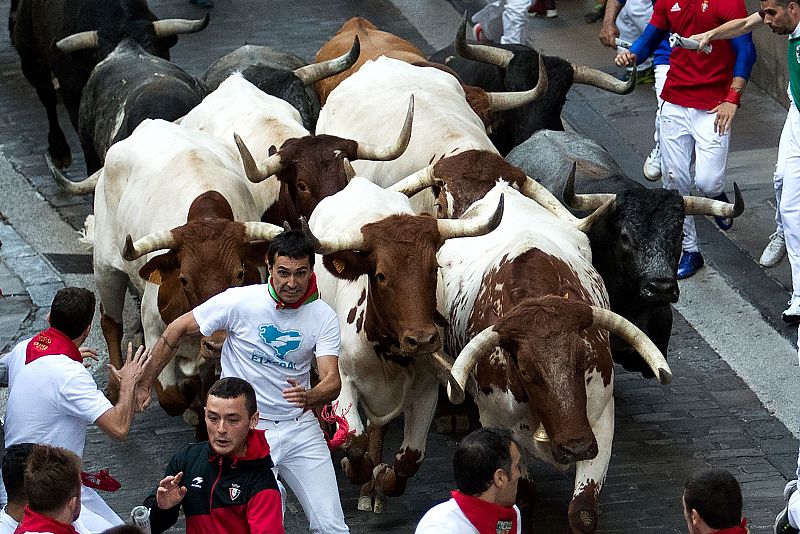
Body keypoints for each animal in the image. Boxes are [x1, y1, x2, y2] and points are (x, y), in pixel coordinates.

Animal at [83, 118, 282, 422]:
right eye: (184, 279)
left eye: (239, 274)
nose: (215, 343)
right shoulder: (153, 328)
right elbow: (171, 397)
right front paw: (186, 396)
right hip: (105, 266)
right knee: (110, 322)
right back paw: (117, 387)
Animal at [304, 179, 504, 516]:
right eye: (381, 275)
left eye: (433, 269)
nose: (422, 340)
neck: (388, 355)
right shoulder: (342, 379)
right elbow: (354, 440)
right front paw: (354, 468)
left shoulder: (427, 389)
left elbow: (410, 457)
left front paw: (384, 480)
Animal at [438, 183, 668, 532]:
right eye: (525, 371)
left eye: (584, 359)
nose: (575, 447)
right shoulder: (497, 426)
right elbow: (522, 499)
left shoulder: (600, 420)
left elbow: (582, 512)